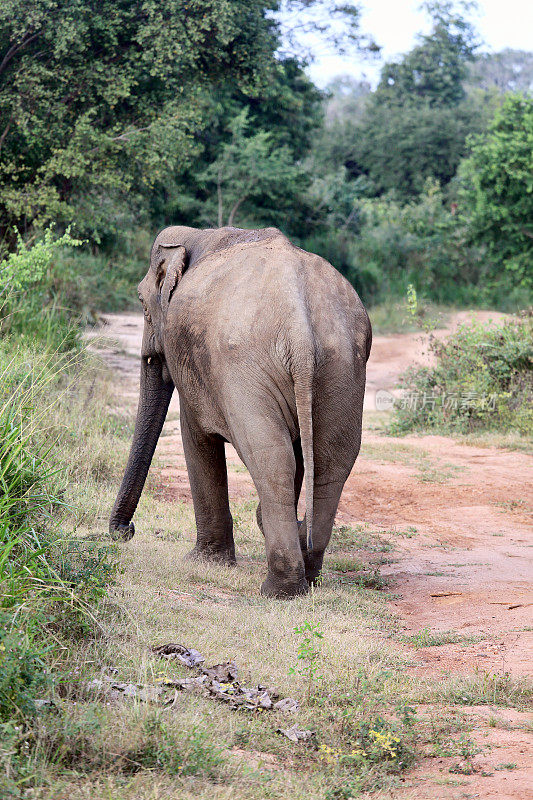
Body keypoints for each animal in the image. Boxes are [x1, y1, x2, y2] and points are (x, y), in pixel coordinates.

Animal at [109, 223, 370, 592]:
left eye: (143, 304)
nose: (126, 532)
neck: (198, 236)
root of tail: (301, 329)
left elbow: (196, 436)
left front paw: (202, 561)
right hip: (342, 366)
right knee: (331, 461)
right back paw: (308, 573)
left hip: (247, 367)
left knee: (270, 457)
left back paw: (279, 589)